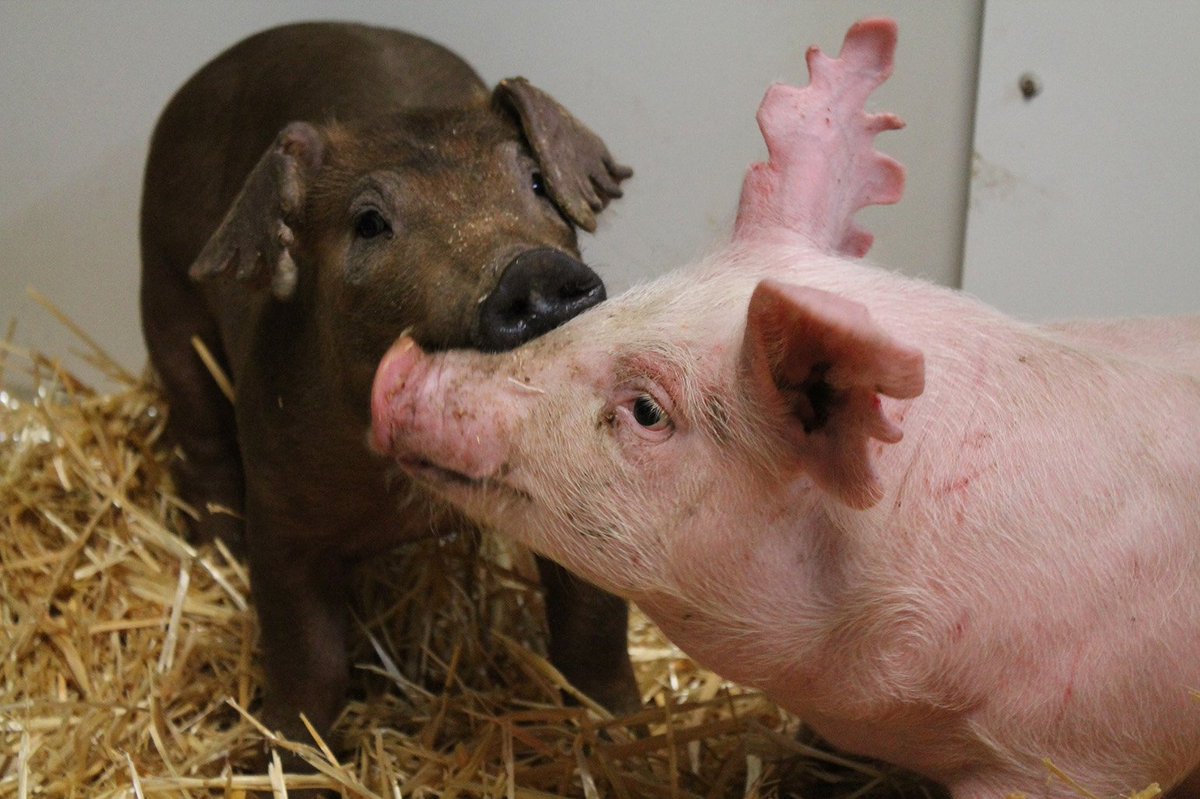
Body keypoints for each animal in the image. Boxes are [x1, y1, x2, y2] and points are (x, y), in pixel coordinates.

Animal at [138, 21, 641, 747]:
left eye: (537, 183)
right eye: (370, 222)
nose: (533, 271)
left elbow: (594, 628)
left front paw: (626, 727)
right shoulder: (280, 509)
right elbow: (307, 656)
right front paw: (286, 752)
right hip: (166, 295)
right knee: (199, 438)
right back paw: (214, 554)